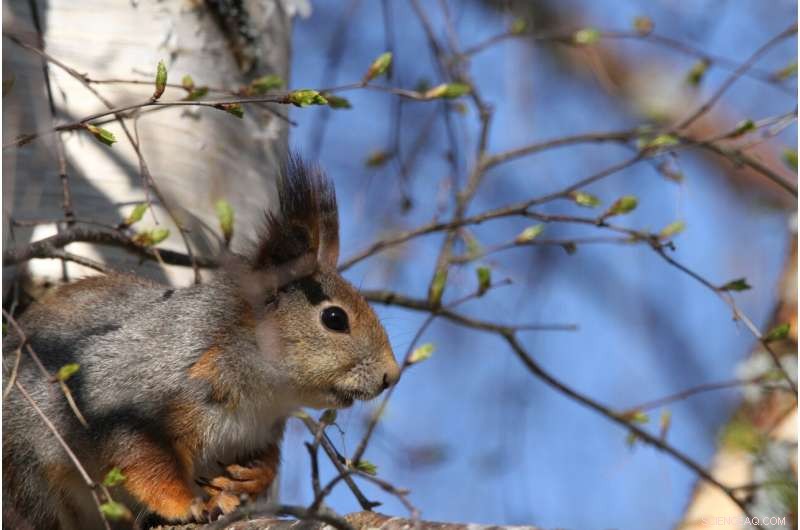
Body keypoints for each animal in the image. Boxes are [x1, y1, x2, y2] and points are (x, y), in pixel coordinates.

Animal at [2, 156, 401, 530]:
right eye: (335, 319)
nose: (391, 376)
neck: (263, 394)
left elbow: (265, 460)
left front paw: (255, 476)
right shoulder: (122, 396)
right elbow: (143, 460)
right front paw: (187, 504)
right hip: (25, 473)